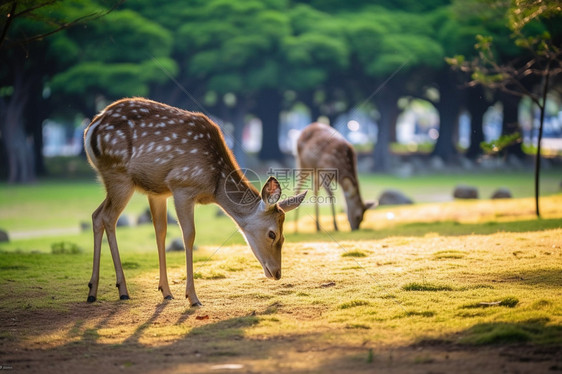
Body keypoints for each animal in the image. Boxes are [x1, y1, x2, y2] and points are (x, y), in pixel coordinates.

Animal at [82, 97, 306, 306]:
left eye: (284, 236)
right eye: (272, 234)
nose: (277, 273)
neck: (215, 186)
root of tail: (90, 129)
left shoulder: (158, 191)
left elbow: (161, 231)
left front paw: (166, 291)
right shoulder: (182, 185)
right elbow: (188, 235)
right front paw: (193, 297)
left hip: (114, 180)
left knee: (96, 215)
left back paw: (93, 289)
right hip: (119, 174)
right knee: (108, 218)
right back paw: (122, 290)